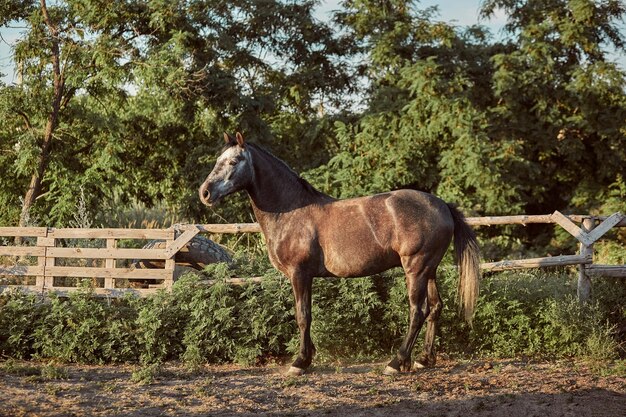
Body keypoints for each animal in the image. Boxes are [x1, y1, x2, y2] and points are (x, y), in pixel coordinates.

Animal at [200, 132, 478, 376]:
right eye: (217, 160)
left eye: (233, 161)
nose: (205, 192)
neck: (291, 211)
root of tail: (443, 206)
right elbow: (306, 314)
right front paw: (308, 356)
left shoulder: (299, 274)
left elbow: (302, 316)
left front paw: (299, 362)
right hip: (429, 269)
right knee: (435, 308)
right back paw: (424, 359)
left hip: (416, 269)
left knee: (417, 312)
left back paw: (396, 363)